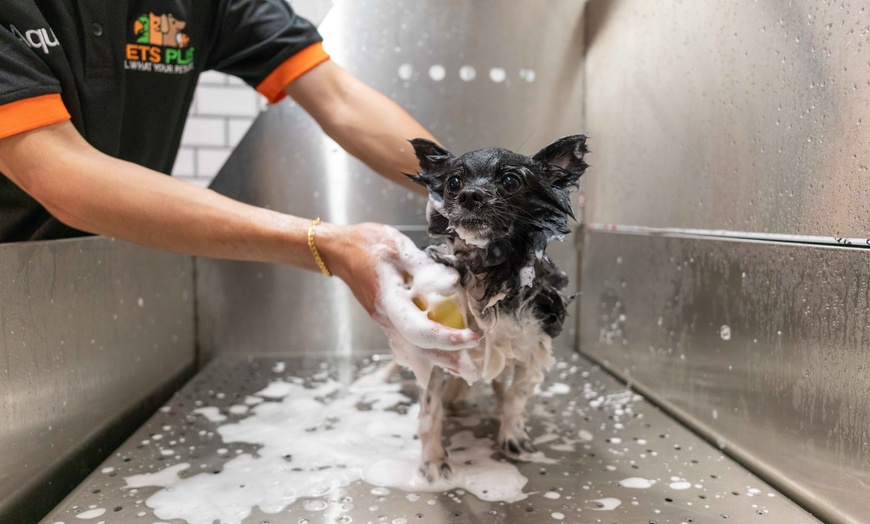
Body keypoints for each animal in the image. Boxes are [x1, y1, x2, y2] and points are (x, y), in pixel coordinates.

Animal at [406, 136, 588, 484]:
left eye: (510, 181)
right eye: (453, 182)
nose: (470, 194)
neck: (488, 275)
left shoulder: (530, 349)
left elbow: (516, 398)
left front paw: (513, 436)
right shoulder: (435, 351)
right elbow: (431, 408)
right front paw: (433, 459)